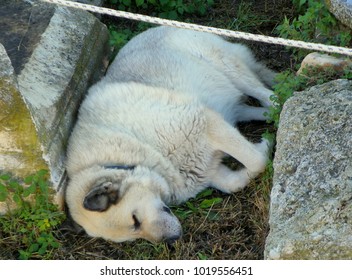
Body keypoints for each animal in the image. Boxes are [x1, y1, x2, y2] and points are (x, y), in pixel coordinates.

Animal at [65, 26, 276, 245]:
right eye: (134, 236)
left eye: (135, 220)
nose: (173, 240)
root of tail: (157, 27)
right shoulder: (209, 169)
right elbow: (234, 183)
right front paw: (265, 143)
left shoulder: (206, 122)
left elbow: (257, 161)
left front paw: (267, 147)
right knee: (257, 110)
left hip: (230, 71)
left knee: (271, 97)